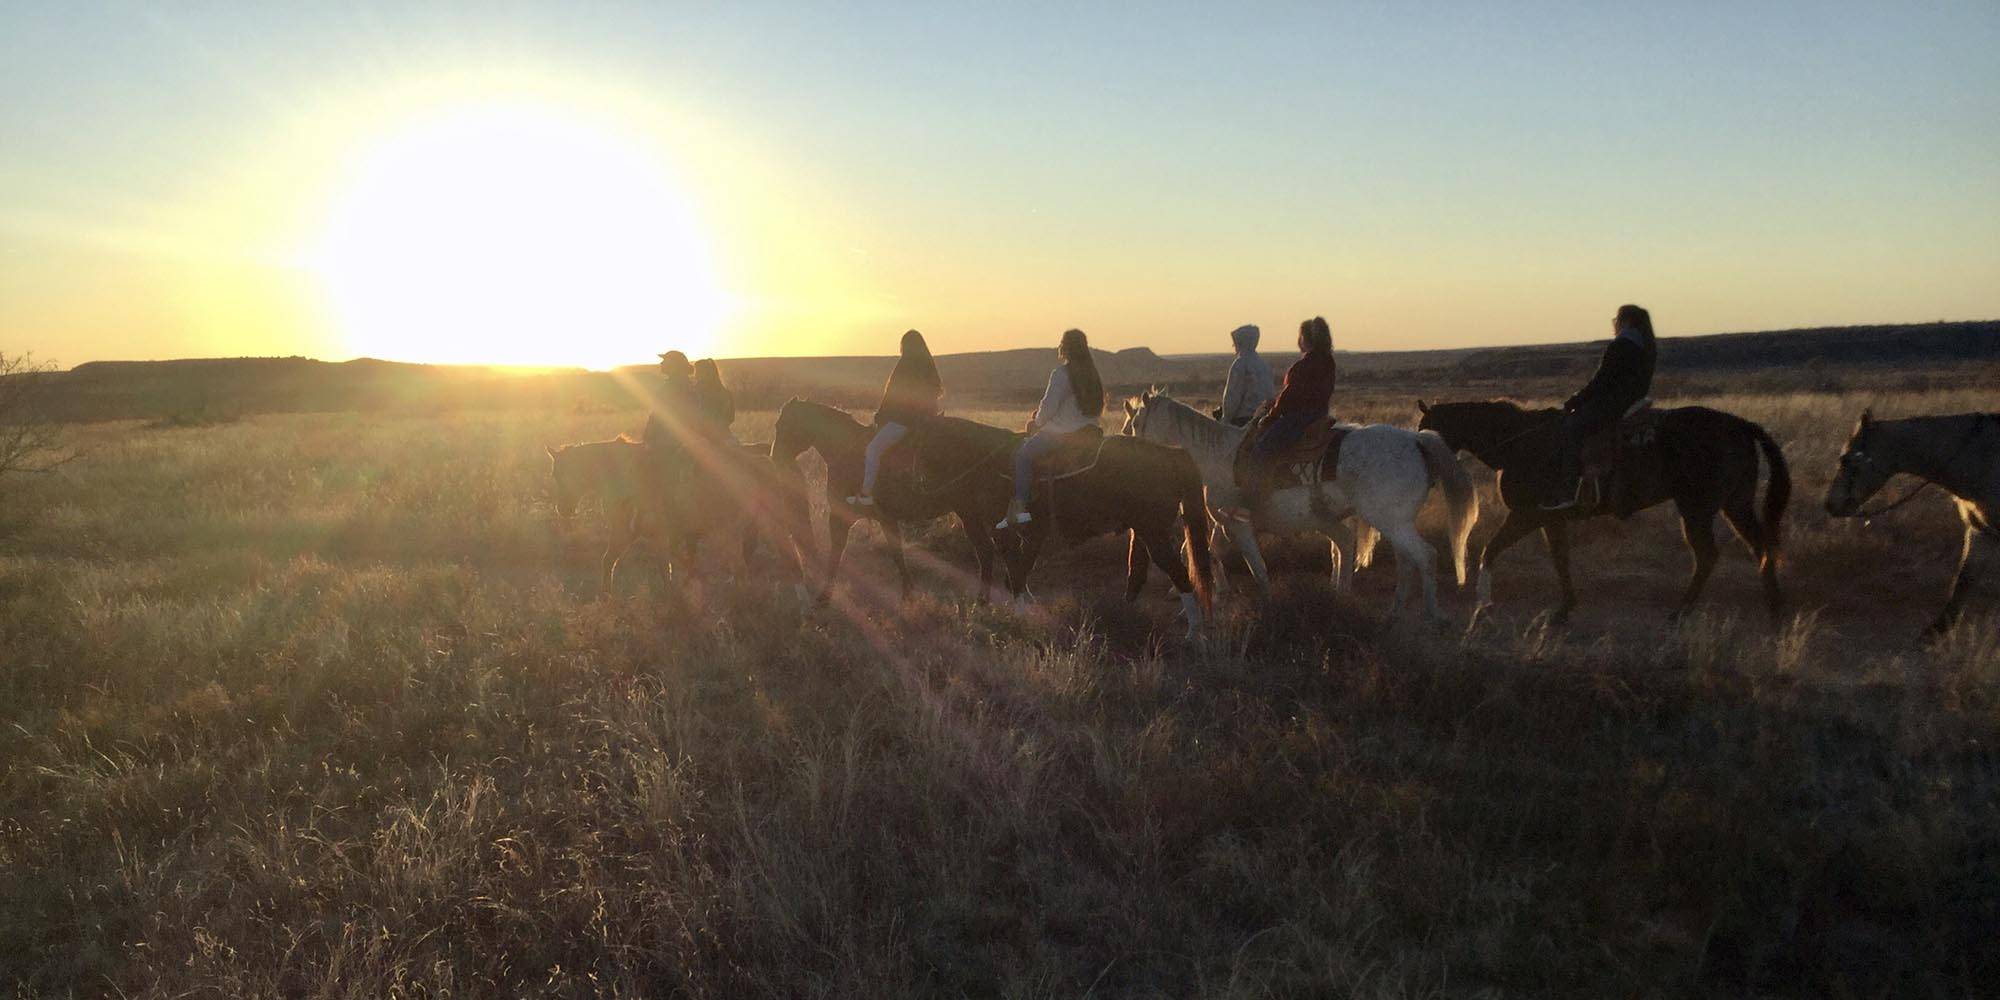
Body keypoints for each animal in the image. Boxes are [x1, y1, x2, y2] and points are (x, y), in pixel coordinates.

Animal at [764, 398, 1016, 600]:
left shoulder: (844, 518)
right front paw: (908, 592)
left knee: (995, 550)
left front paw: (824, 596)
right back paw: (985, 600)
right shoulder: (882, 520)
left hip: (982, 514)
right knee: (988, 550)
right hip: (972, 514)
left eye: (783, 426)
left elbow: (840, 553)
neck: (847, 452)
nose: (774, 459)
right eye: (777, 425)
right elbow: (896, 554)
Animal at [912, 414, 1216, 640]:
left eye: (926, 445)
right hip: (1142, 532)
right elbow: (1016, 570)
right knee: (1138, 572)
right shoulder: (1021, 534)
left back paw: (1194, 632)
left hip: (1155, 533)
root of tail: (1170, 454)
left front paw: (1020, 613)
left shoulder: (1014, 532)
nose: (923, 485)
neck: (990, 462)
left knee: (1179, 575)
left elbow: (1016, 573)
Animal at [1120, 386, 1480, 620]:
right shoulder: (1224, 524)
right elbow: (1208, 553)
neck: (1217, 456)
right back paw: (1394, 611)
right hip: (1392, 523)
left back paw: (1432, 614)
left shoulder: (1236, 522)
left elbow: (1256, 565)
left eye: (1136, 424)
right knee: (1406, 561)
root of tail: (1417, 441)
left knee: (1426, 556)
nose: (1129, 457)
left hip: (1391, 521)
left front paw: (1265, 602)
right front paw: (1212, 594)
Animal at [1416, 400, 1792, 624]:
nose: (1422, 469)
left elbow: (1491, 550)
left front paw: (1483, 603)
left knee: (1708, 556)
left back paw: (1681, 611)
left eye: (1424, 432)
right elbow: (1560, 559)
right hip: (1735, 505)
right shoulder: (1551, 519)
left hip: (1697, 509)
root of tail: (1740, 424)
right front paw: (1565, 608)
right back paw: (1774, 608)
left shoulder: (1526, 516)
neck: (1520, 443)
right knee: (1759, 547)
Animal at [1832, 410, 2000, 636]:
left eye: (1847, 460)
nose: (1830, 504)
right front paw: (1936, 630)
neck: (1983, 456)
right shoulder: (1980, 531)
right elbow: (1964, 579)